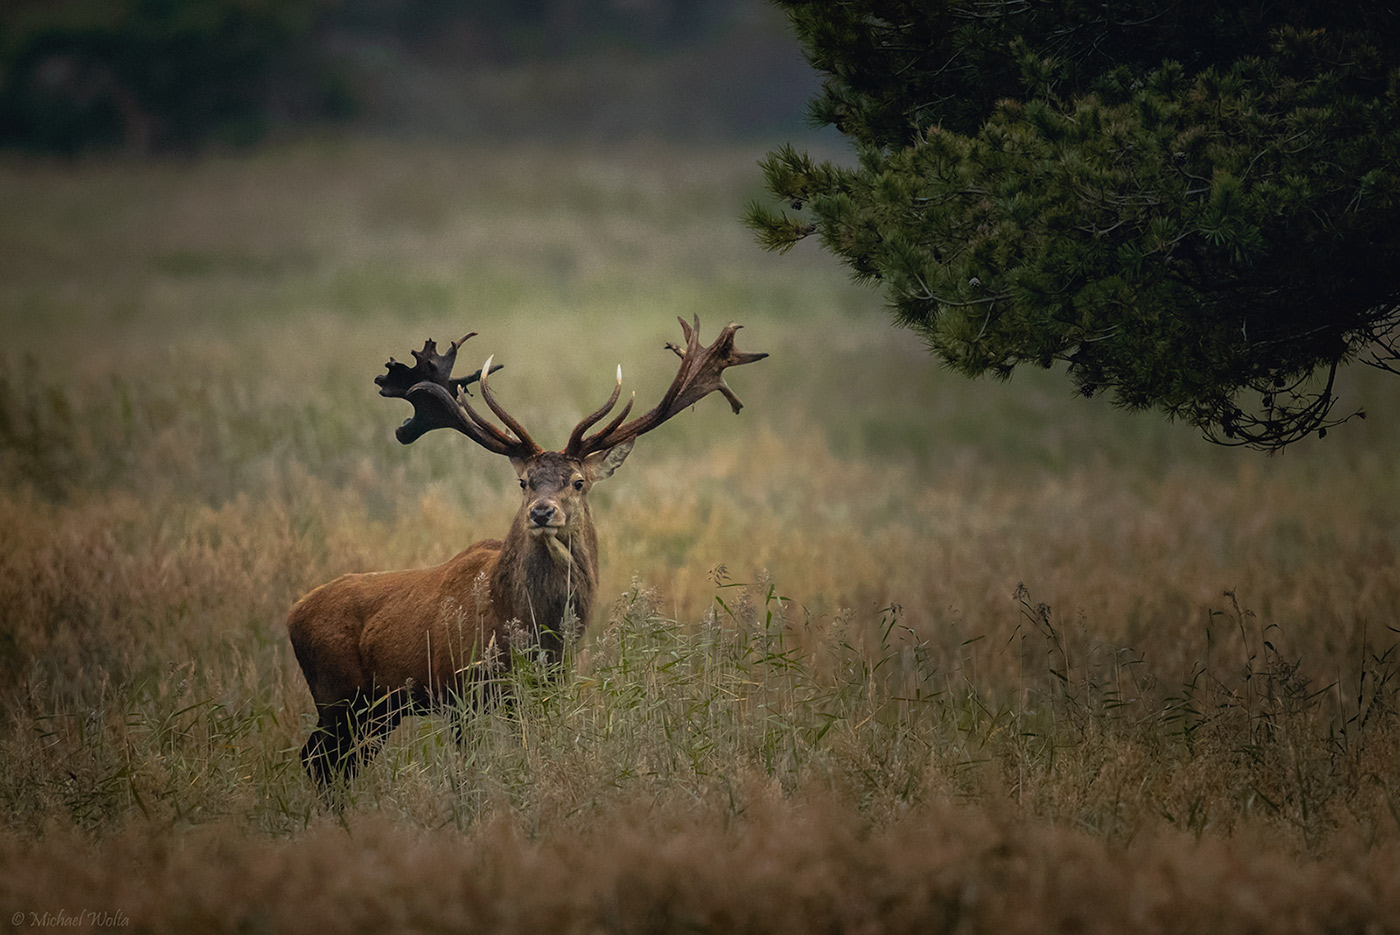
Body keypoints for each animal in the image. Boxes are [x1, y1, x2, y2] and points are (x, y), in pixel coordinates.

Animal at [285, 317, 767, 795]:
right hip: (339, 694)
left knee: (332, 761)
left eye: (578, 481)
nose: (541, 511)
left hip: (376, 709)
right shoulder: (462, 688)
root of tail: (293, 615)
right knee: (318, 759)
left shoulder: (547, 682)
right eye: (524, 482)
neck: (526, 621)